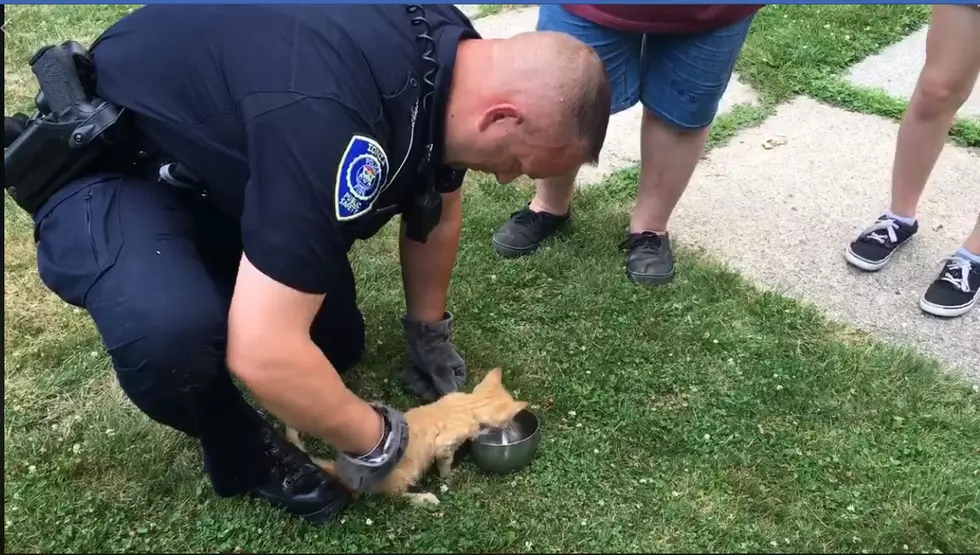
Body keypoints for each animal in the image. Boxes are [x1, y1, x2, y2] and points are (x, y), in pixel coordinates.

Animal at [286, 370, 528, 508]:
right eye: (508, 421)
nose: (511, 427)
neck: (469, 405)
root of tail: (338, 467)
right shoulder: (444, 444)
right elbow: (445, 461)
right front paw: (448, 477)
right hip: (405, 473)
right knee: (393, 496)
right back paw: (423, 498)